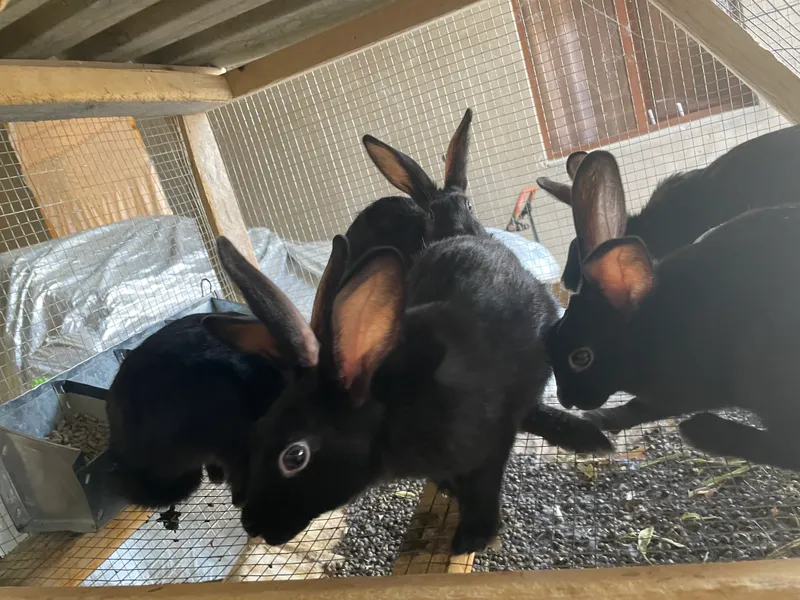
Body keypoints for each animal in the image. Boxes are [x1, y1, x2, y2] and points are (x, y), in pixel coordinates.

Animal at [204, 234, 612, 555]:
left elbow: (485, 484)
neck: (392, 413)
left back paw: (586, 437)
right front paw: (452, 493)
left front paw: (473, 538)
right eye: (257, 432)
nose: (252, 525)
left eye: (295, 456)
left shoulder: (490, 442)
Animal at [546, 149, 800, 471]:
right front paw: (599, 419)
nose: (565, 400)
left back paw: (704, 432)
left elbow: (642, 406)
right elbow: (639, 408)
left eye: (581, 357)